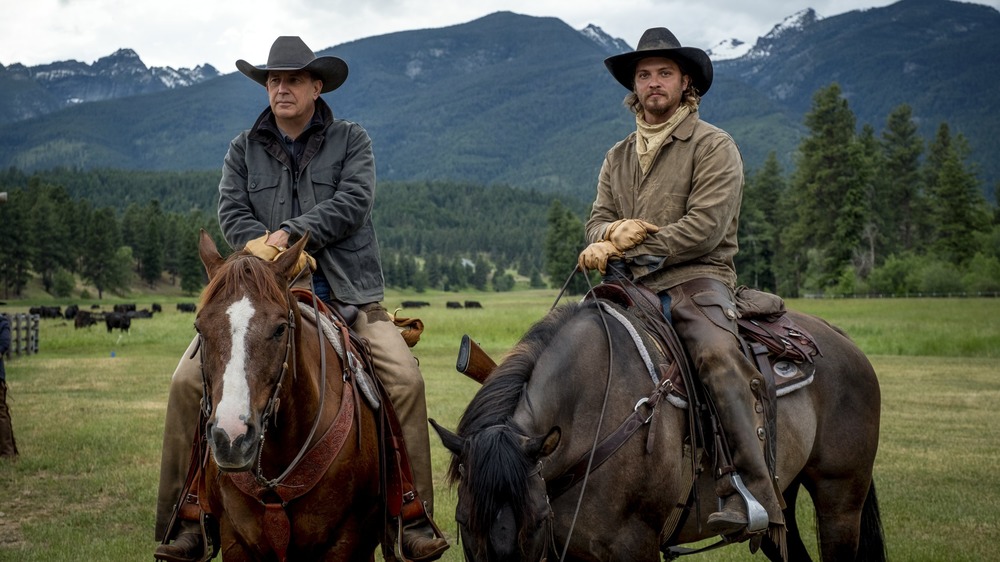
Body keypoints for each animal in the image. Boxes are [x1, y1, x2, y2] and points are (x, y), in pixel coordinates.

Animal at [434, 296, 888, 556]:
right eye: (462, 521)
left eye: (537, 521)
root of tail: (840, 339)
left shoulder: (633, 546)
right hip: (783, 505)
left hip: (840, 501)